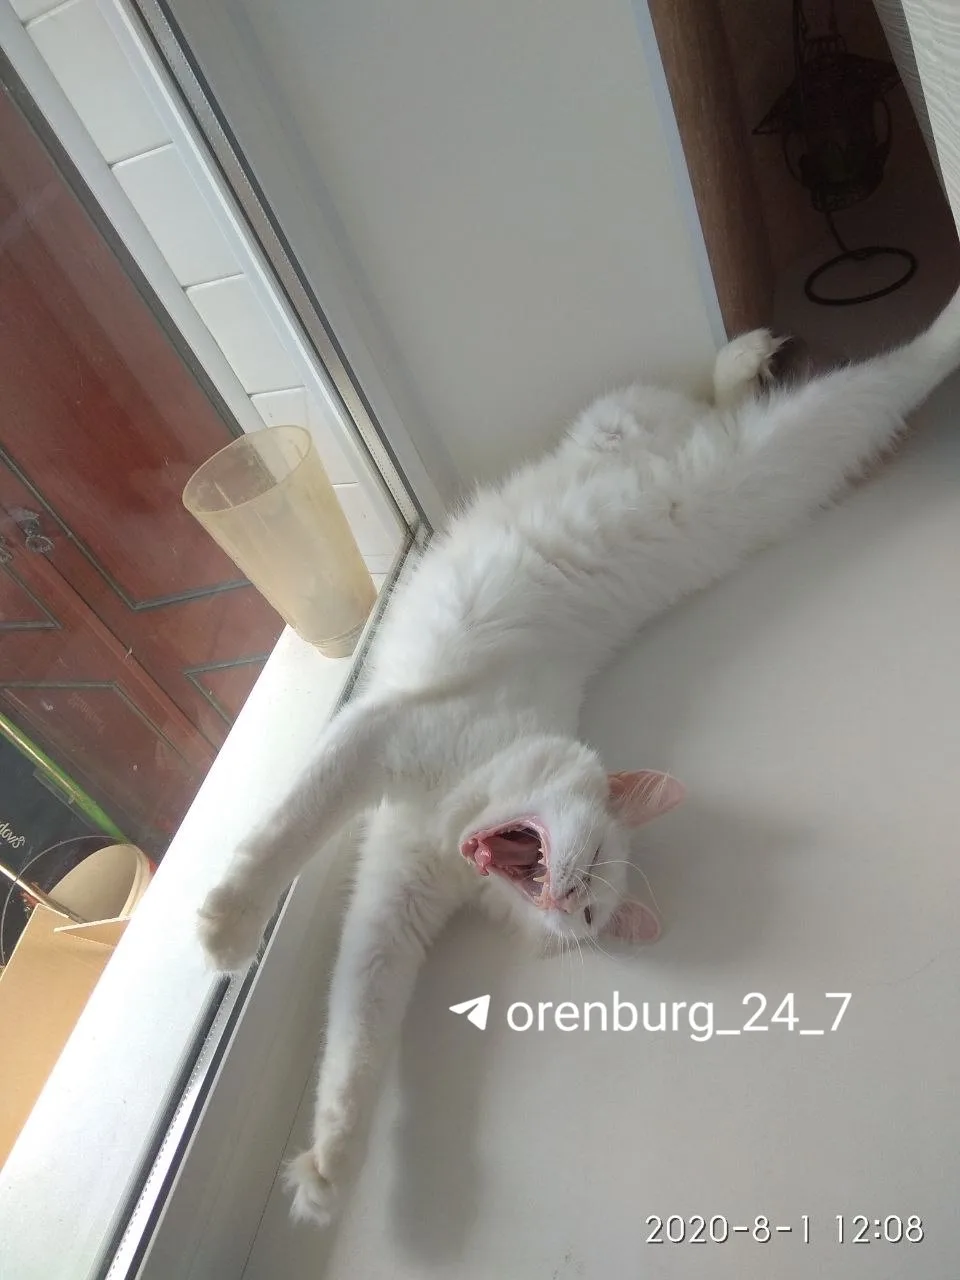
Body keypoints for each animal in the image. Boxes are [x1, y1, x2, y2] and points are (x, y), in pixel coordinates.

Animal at [197, 287, 960, 1227]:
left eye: (592, 909)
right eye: (590, 863)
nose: (562, 897)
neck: (457, 812)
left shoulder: (391, 905)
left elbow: (358, 1042)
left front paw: (328, 1173)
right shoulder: (381, 740)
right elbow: (282, 837)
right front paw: (225, 931)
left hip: (715, 449)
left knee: (737, 400)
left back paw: (752, 359)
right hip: (748, 454)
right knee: (830, 387)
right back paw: (862, 339)